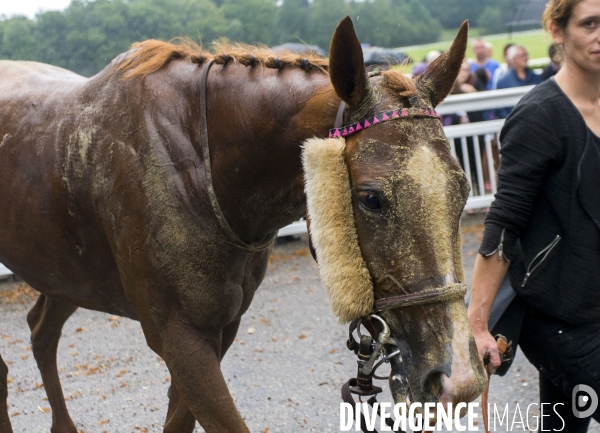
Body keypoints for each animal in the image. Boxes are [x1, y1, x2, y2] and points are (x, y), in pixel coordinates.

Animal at [0, 16, 486, 432]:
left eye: (462, 189)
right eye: (371, 198)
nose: (459, 380)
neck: (195, 164)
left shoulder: (219, 329)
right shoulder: (178, 335)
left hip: (63, 272)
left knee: (41, 331)